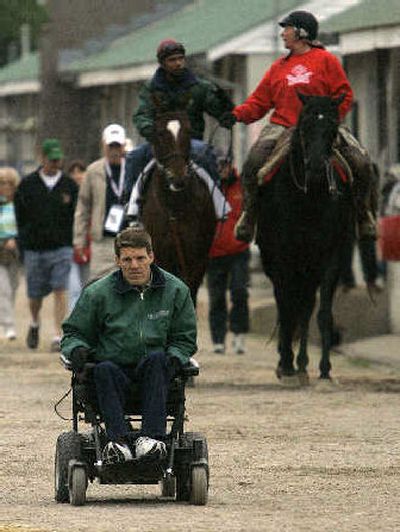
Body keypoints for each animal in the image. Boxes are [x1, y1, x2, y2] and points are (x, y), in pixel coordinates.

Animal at [140, 110, 216, 306]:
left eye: (188, 131)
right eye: (160, 133)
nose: (178, 177)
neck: (175, 206)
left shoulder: (198, 259)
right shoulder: (161, 254)